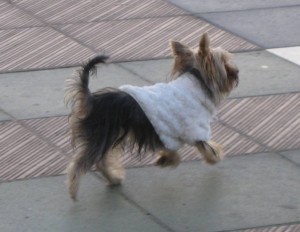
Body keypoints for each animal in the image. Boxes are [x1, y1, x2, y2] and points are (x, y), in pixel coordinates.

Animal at [65, 33, 239, 201]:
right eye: (224, 62)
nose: (236, 71)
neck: (196, 80)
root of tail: (91, 100)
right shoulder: (194, 129)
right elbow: (207, 147)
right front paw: (215, 157)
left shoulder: (165, 131)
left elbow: (170, 148)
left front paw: (166, 159)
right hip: (103, 134)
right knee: (81, 163)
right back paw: (74, 191)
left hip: (110, 135)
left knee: (100, 161)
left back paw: (113, 179)